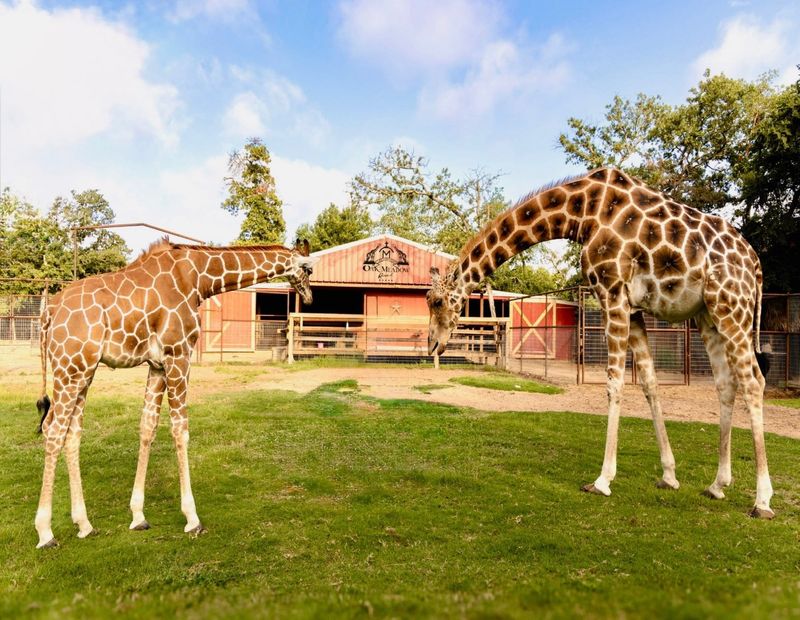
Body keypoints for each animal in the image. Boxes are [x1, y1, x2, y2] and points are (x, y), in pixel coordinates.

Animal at [34, 238, 318, 549]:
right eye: (309, 269)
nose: (309, 297)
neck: (199, 279)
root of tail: (49, 312)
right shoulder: (178, 354)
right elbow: (181, 431)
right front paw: (192, 518)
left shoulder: (157, 365)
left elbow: (147, 427)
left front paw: (138, 516)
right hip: (71, 368)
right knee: (53, 431)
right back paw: (45, 532)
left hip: (83, 372)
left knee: (72, 434)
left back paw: (84, 524)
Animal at [426, 167, 774, 518]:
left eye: (437, 301)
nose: (433, 345)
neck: (580, 214)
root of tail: (756, 266)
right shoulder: (633, 308)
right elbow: (649, 382)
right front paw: (669, 475)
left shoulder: (612, 294)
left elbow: (615, 384)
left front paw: (602, 480)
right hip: (707, 314)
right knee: (726, 383)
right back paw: (717, 485)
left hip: (730, 305)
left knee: (753, 381)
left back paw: (762, 500)